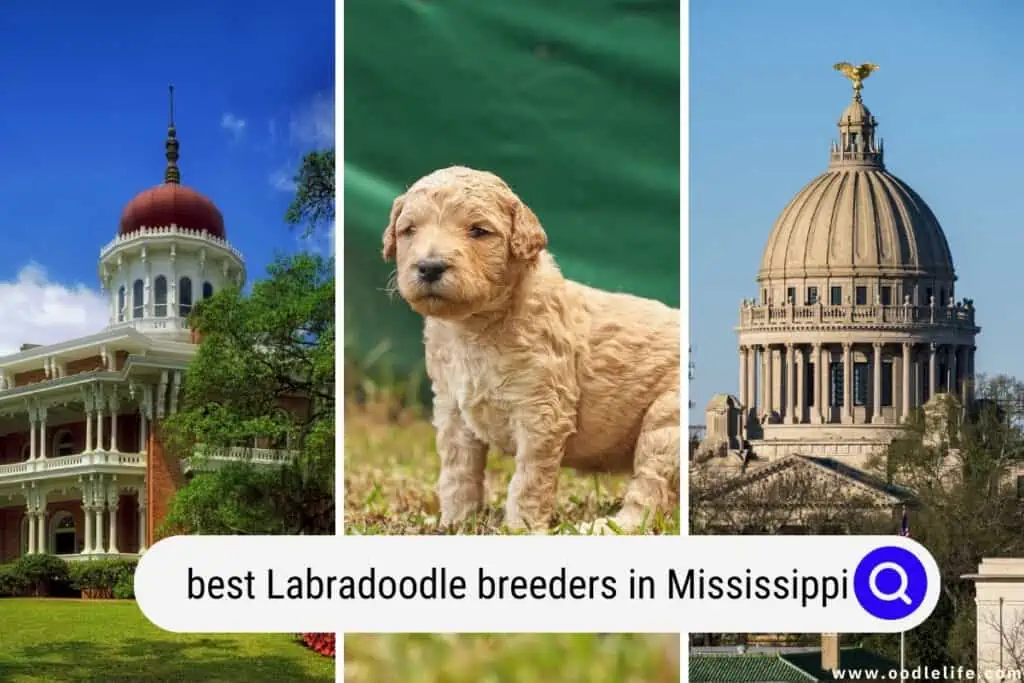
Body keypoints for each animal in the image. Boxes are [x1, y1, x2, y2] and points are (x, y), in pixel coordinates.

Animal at [380, 165, 675, 532]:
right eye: (410, 230)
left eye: (478, 231)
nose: (430, 267)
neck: (475, 328)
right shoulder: (451, 408)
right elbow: (458, 471)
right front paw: (455, 521)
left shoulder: (541, 412)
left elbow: (528, 480)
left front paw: (520, 527)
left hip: (665, 423)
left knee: (650, 492)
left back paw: (605, 526)